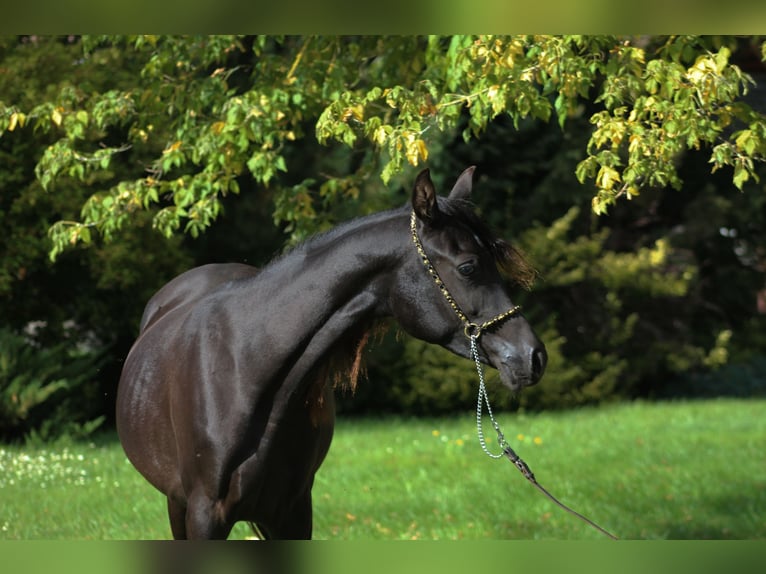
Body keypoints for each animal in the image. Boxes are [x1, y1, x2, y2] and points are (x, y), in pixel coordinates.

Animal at [116, 166, 547, 539]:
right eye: (469, 267)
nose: (534, 356)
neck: (246, 371)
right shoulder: (204, 514)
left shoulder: (292, 513)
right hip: (177, 504)